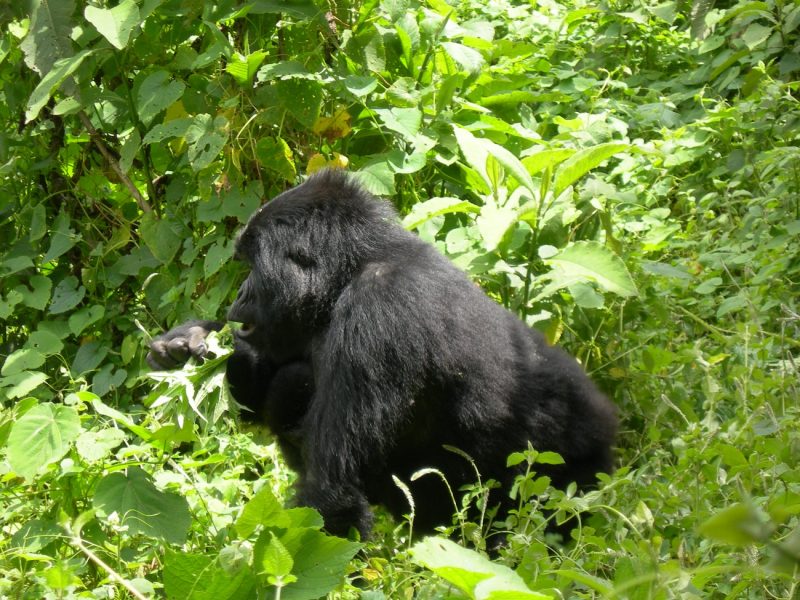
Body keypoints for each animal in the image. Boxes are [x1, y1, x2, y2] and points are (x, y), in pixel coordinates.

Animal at [147, 169, 616, 540]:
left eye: (252, 267)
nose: (240, 294)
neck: (350, 269)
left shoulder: (377, 314)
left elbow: (333, 494)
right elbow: (264, 385)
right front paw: (186, 344)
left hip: (568, 476)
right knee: (290, 384)